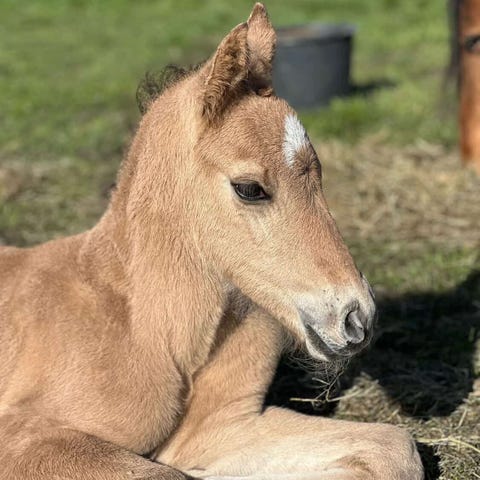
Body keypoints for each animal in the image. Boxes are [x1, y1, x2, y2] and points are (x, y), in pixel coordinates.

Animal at [0, 4, 423, 479]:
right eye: (250, 188)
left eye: (319, 175)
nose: (357, 318)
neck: (147, 328)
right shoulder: (23, 437)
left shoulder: (223, 426)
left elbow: (394, 448)